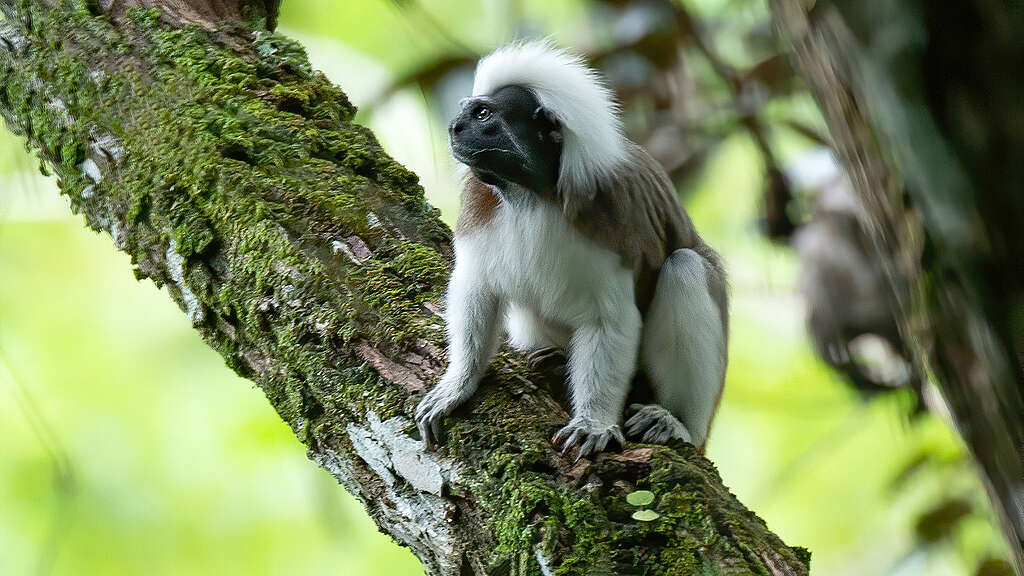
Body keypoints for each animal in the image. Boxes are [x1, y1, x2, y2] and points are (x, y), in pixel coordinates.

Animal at [415, 41, 728, 459]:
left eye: (482, 114)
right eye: (466, 112)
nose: (454, 128)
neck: (530, 196)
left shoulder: (613, 219)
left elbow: (610, 321)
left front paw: (593, 423)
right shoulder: (477, 208)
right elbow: (476, 289)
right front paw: (458, 385)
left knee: (686, 267)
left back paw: (675, 422)